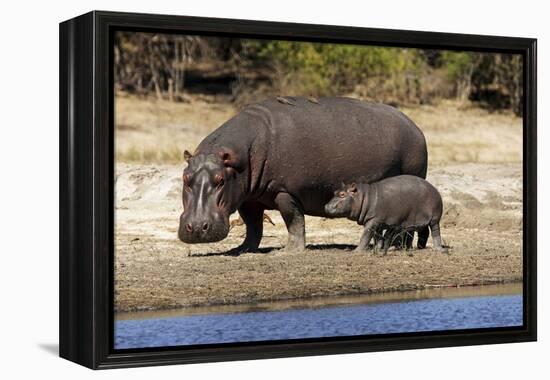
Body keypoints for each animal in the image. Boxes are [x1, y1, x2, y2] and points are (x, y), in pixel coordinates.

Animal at [179, 96, 430, 254]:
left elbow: (294, 221)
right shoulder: (248, 197)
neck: (237, 158)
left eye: (220, 180)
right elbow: (253, 226)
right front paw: (242, 249)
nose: (196, 227)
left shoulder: (284, 191)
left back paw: (399, 246)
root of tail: (415, 126)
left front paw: (289, 251)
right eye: (185, 178)